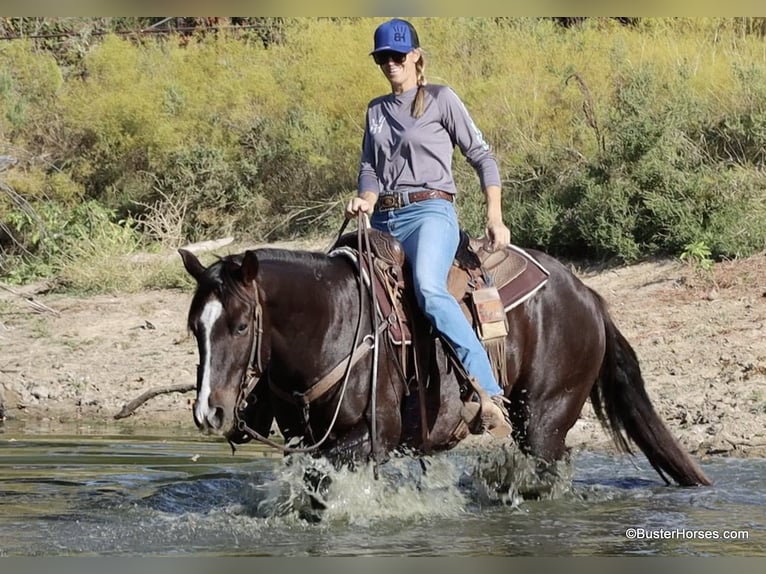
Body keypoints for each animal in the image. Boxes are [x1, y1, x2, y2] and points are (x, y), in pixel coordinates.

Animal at [178, 234, 711, 488]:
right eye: (195, 327)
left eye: (241, 326)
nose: (209, 413)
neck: (335, 319)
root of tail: (588, 296)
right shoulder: (303, 439)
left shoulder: (372, 435)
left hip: (545, 415)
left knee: (550, 462)